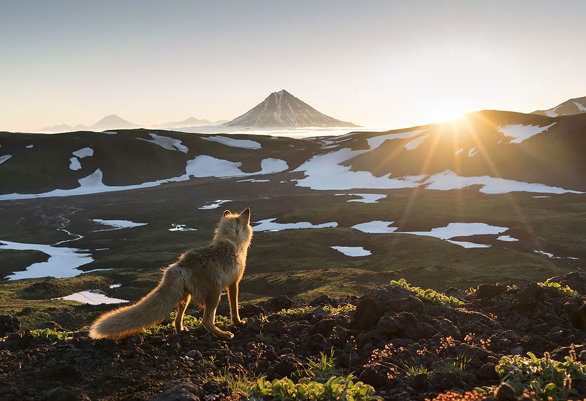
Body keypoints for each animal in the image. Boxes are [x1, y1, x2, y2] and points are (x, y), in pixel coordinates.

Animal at [88, 208, 252, 340]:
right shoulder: (234, 283)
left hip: (185, 297)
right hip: (214, 294)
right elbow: (234, 307)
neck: (232, 241)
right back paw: (223, 335)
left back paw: (182, 332)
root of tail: (180, 265)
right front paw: (238, 322)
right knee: (205, 320)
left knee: (177, 320)